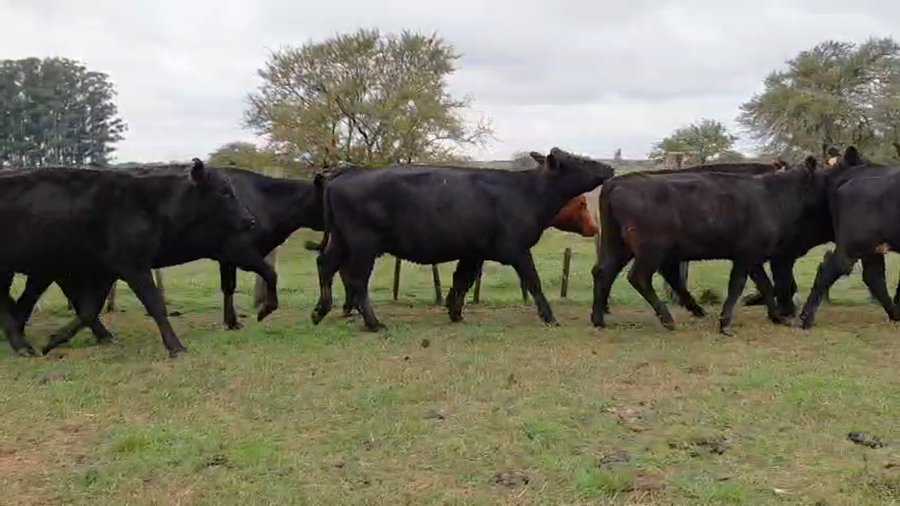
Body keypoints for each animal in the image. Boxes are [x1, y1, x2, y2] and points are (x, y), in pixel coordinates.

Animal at [10, 165, 325, 353]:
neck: (262, 201)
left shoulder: (226, 257)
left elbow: (229, 287)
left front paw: (232, 322)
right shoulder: (240, 251)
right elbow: (269, 274)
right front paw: (264, 310)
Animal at [309, 148, 615, 330]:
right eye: (579, 160)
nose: (610, 168)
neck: (527, 192)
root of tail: (344, 174)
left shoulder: (473, 252)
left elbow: (462, 281)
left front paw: (454, 312)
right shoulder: (517, 249)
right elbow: (533, 282)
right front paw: (549, 317)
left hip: (342, 240)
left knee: (325, 264)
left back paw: (320, 311)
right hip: (363, 244)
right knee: (356, 279)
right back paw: (373, 323)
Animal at [591, 156, 824, 336]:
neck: (772, 195)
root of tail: (616, 182)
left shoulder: (753, 257)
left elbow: (765, 284)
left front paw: (776, 316)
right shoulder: (748, 255)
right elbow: (738, 286)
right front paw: (726, 325)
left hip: (618, 245)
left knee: (603, 272)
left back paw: (598, 319)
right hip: (651, 250)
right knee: (638, 277)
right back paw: (668, 319)